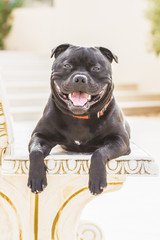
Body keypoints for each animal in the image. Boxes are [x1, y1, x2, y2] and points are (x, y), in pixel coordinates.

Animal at [27, 44, 130, 196]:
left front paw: (97, 179)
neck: (80, 118)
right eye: (67, 65)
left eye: (96, 68)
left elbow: (99, 153)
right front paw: (36, 177)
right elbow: (35, 151)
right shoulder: (40, 135)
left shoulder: (119, 140)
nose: (80, 78)